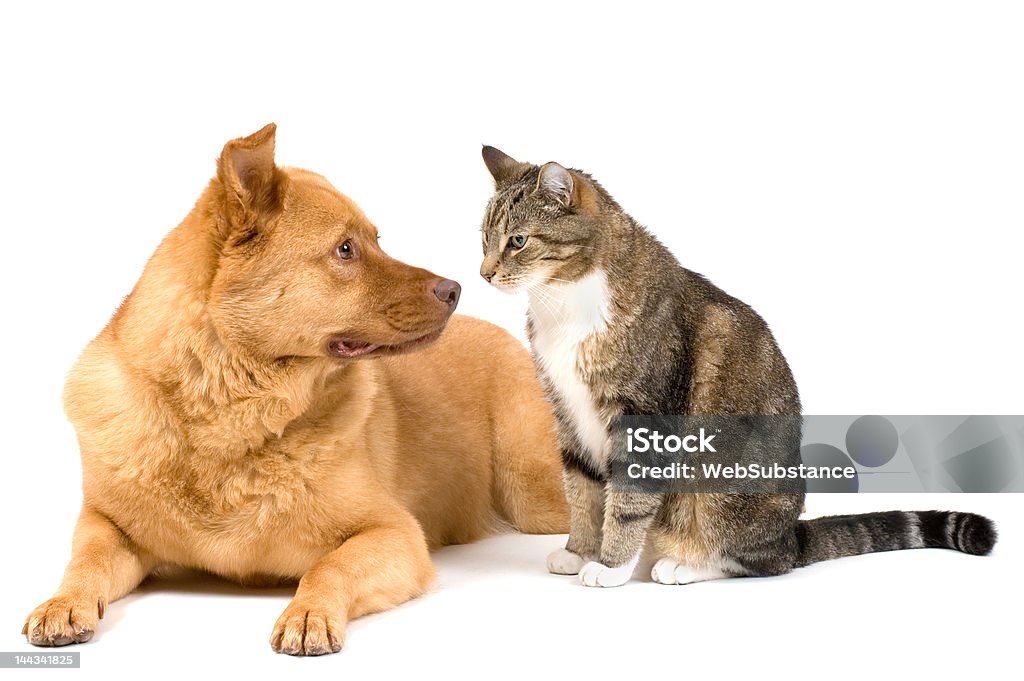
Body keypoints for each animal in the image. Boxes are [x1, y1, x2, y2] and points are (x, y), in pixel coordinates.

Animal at [24, 125, 569, 655]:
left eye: (376, 239)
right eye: (345, 248)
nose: (456, 289)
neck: (227, 418)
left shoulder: (394, 532)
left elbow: (329, 565)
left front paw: (309, 613)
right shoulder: (105, 524)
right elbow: (84, 561)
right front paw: (62, 603)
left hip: (533, 493)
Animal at [475, 146, 995, 585]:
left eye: (517, 240)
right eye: (484, 239)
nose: (484, 273)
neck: (565, 302)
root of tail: (792, 534)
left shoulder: (642, 416)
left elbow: (626, 500)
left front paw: (611, 565)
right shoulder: (567, 413)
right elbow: (582, 492)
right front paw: (579, 551)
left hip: (723, 485)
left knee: (757, 559)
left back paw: (682, 565)